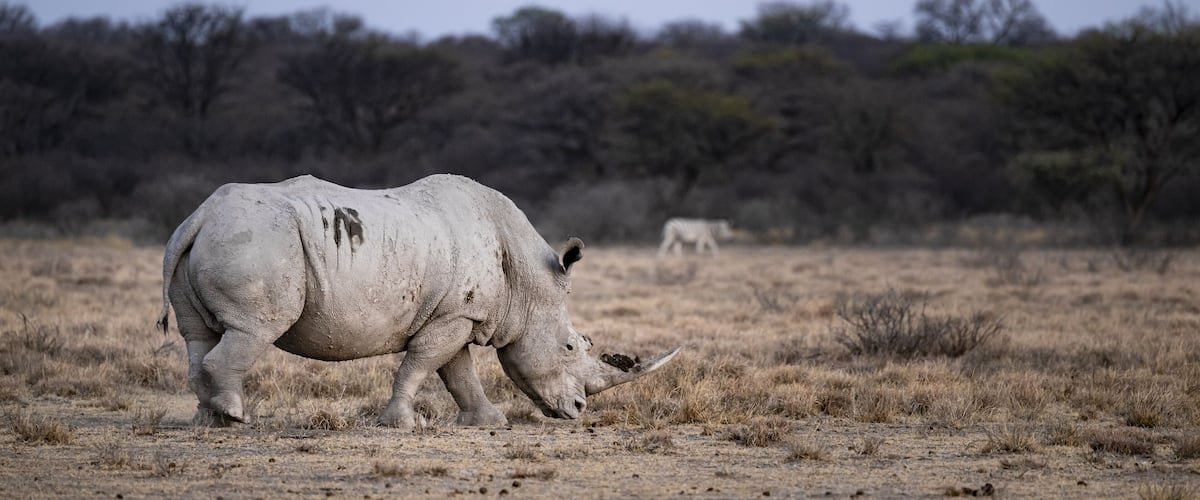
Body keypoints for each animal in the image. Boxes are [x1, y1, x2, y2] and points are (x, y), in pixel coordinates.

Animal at [157, 174, 679, 428]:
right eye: (572, 346)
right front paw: (405, 423)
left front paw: (487, 422)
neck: (528, 282)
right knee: (255, 328)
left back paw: (209, 421)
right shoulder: (455, 314)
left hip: (213, 240)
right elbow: (423, 364)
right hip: (259, 241)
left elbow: (457, 371)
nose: (577, 410)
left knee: (198, 335)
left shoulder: (460, 313)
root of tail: (200, 216)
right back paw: (235, 417)